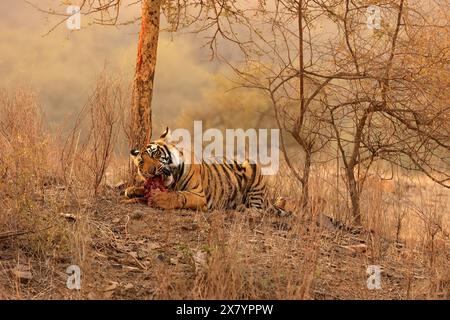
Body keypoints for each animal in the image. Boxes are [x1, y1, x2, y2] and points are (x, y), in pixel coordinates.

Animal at [123, 126, 288, 216]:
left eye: (155, 154)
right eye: (141, 163)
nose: (150, 172)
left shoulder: (198, 195)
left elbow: (178, 196)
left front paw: (159, 198)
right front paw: (132, 190)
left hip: (252, 168)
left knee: (258, 210)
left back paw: (243, 209)